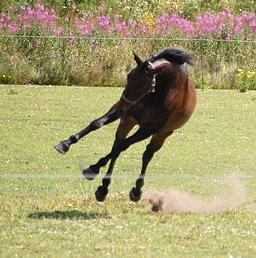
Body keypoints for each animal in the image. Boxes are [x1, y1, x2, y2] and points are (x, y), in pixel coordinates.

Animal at [54, 47, 196, 203]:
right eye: (129, 76)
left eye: (142, 83)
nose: (121, 106)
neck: (161, 92)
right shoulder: (126, 114)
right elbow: (97, 124)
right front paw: (65, 144)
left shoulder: (150, 128)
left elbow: (123, 146)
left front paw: (93, 169)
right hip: (128, 120)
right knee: (118, 145)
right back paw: (103, 187)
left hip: (162, 134)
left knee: (145, 154)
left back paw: (135, 189)